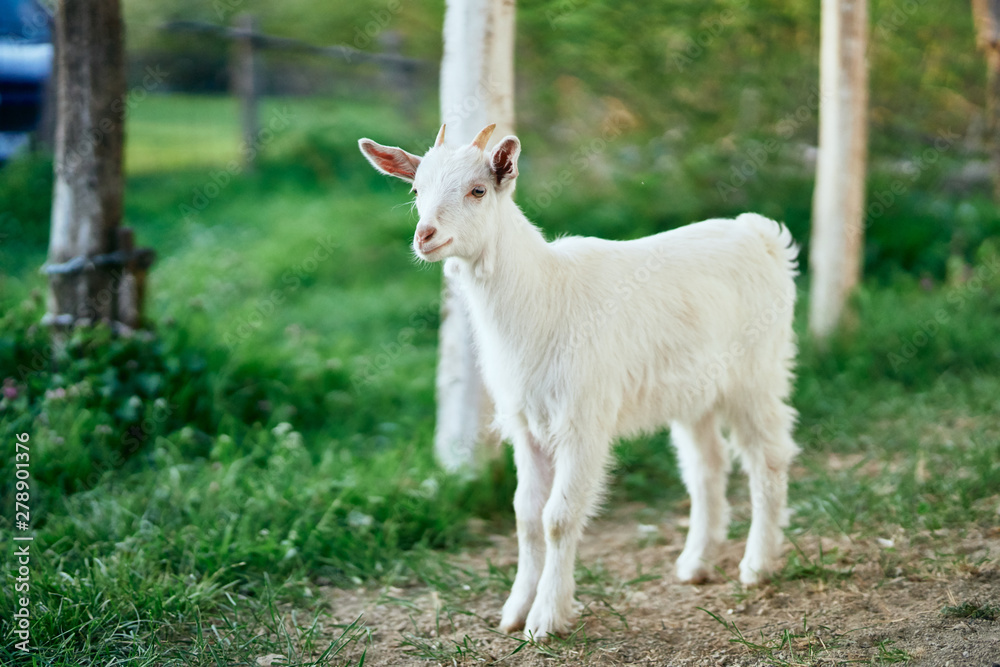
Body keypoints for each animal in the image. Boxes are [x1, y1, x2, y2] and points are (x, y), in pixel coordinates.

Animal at [358, 123, 800, 640]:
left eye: (478, 190)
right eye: (415, 190)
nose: (425, 236)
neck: (545, 294)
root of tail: (760, 234)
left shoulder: (581, 420)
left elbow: (558, 518)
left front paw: (546, 618)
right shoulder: (526, 423)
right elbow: (526, 516)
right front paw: (514, 611)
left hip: (756, 373)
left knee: (767, 458)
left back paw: (757, 565)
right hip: (695, 392)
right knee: (706, 466)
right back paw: (695, 563)